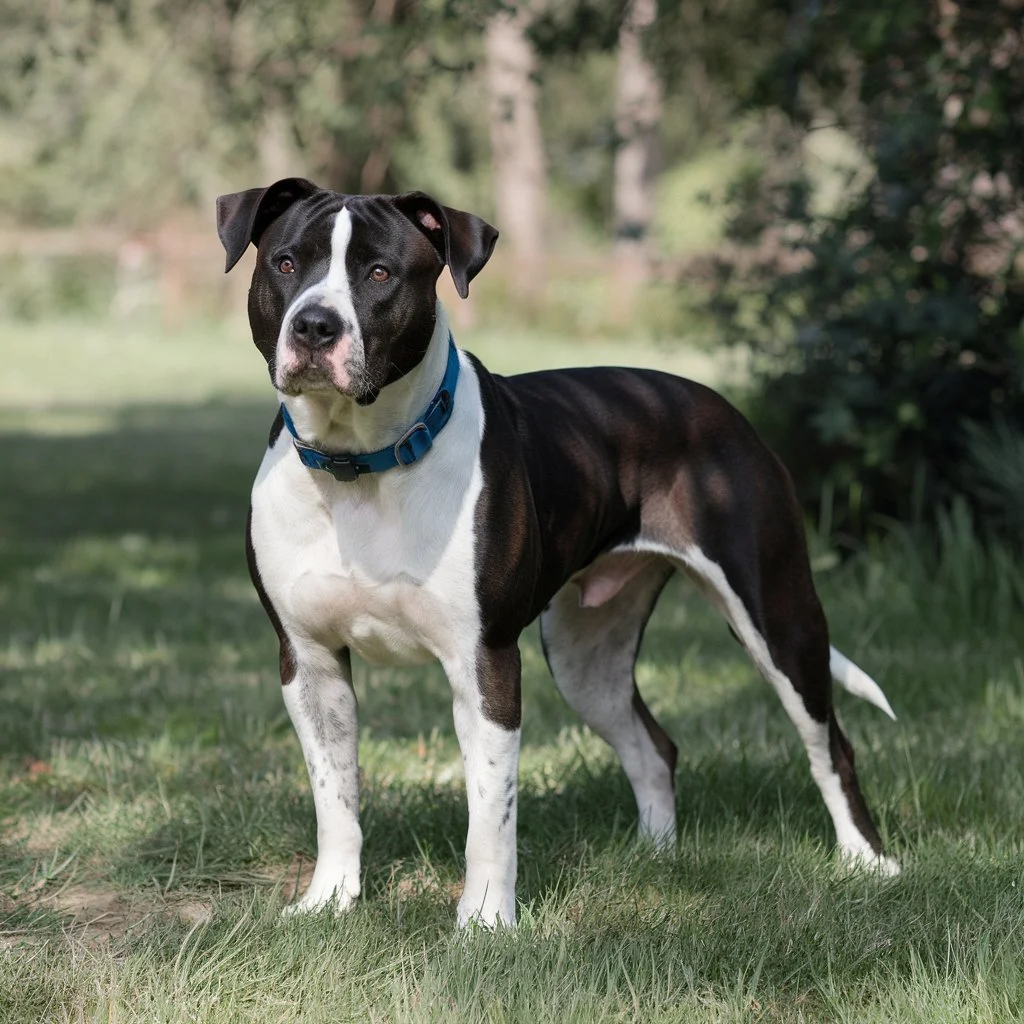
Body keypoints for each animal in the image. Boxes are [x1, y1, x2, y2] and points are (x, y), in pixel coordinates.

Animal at [214, 180, 897, 933]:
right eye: (285, 263)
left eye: (380, 272)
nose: (314, 326)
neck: (361, 464)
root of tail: (716, 405)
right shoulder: (309, 661)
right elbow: (335, 795)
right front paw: (330, 900)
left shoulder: (484, 663)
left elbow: (490, 812)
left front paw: (485, 921)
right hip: (584, 654)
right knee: (653, 747)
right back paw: (655, 858)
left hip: (778, 618)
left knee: (830, 743)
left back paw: (869, 863)